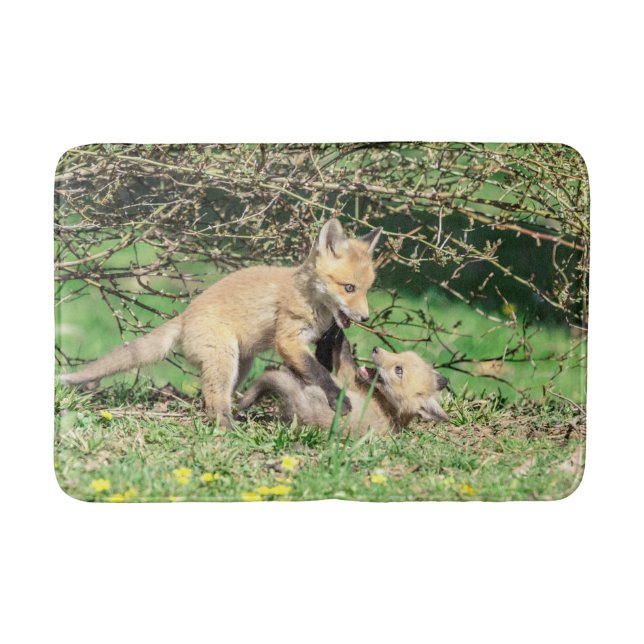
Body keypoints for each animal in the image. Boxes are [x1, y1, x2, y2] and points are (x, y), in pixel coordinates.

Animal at [59, 219, 382, 428]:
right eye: (349, 288)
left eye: (368, 289)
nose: (365, 318)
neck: (312, 302)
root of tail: (185, 315)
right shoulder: (288, 339)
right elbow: (318, 373)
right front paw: (337, 400)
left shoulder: (318, 341)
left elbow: (318, 367)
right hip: (225, 358)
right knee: (214, 401)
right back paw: (227, 427)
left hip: (241, 364)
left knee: (213, 397)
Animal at [239, 326, 449, 436]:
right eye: (400, 355)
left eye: (399, 370)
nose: (375, 349)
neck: (390, 408)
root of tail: (299, 405)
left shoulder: (347, 377)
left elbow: (345, 352)